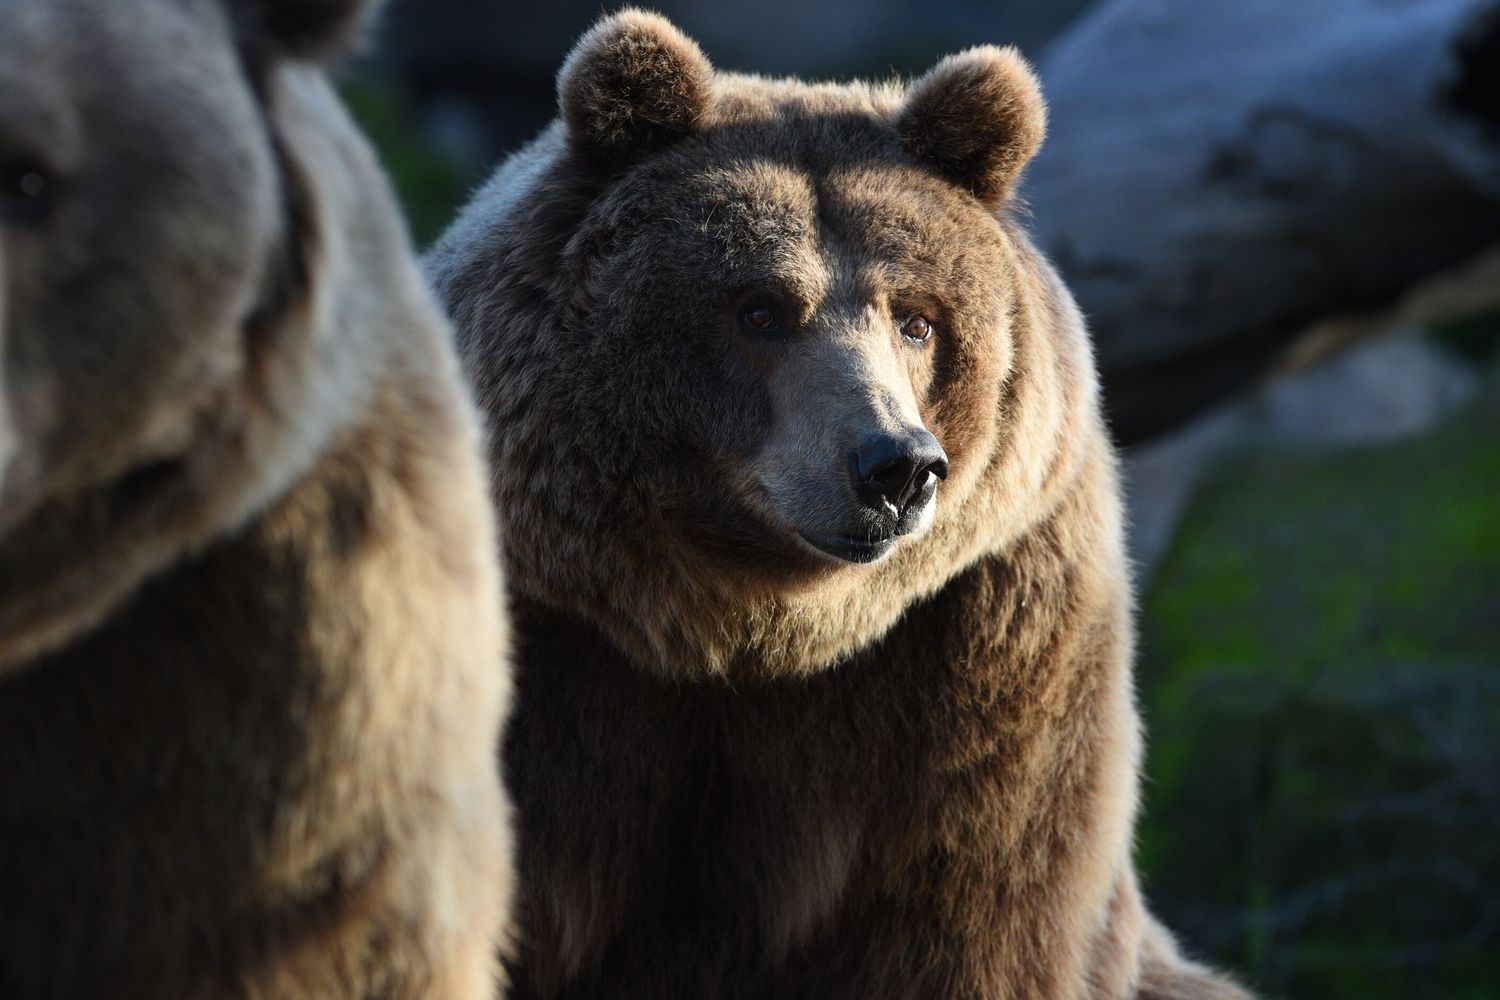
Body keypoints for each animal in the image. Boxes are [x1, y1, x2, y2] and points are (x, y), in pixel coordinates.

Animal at [428, 9, 1250, 1000]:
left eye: (918, 318)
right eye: (760, 308)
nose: (896, 465)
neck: (738, 628)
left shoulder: (985, 654)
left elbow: (974, 911)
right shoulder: (548, 649)